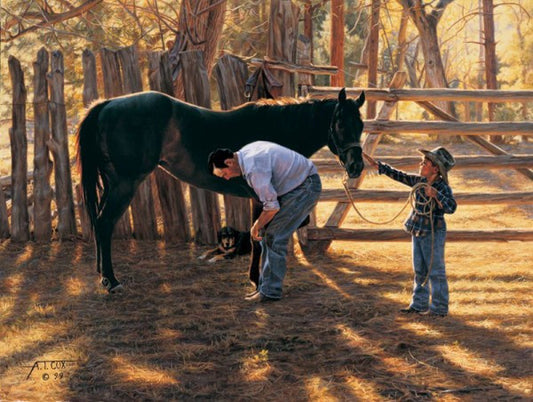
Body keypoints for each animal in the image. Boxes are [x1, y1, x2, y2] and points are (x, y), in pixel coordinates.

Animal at [77, 87, 364, 292]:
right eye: (340, 124)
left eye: (360, 125)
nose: (356, 166)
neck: (276, 131)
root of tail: (107, 104)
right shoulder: (261, 197)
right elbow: (258, 237)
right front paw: (256, 280)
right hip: (124, 184)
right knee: (104, 224)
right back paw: (112, 281)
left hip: (113, 183)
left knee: (100, 224)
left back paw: (103, 276)